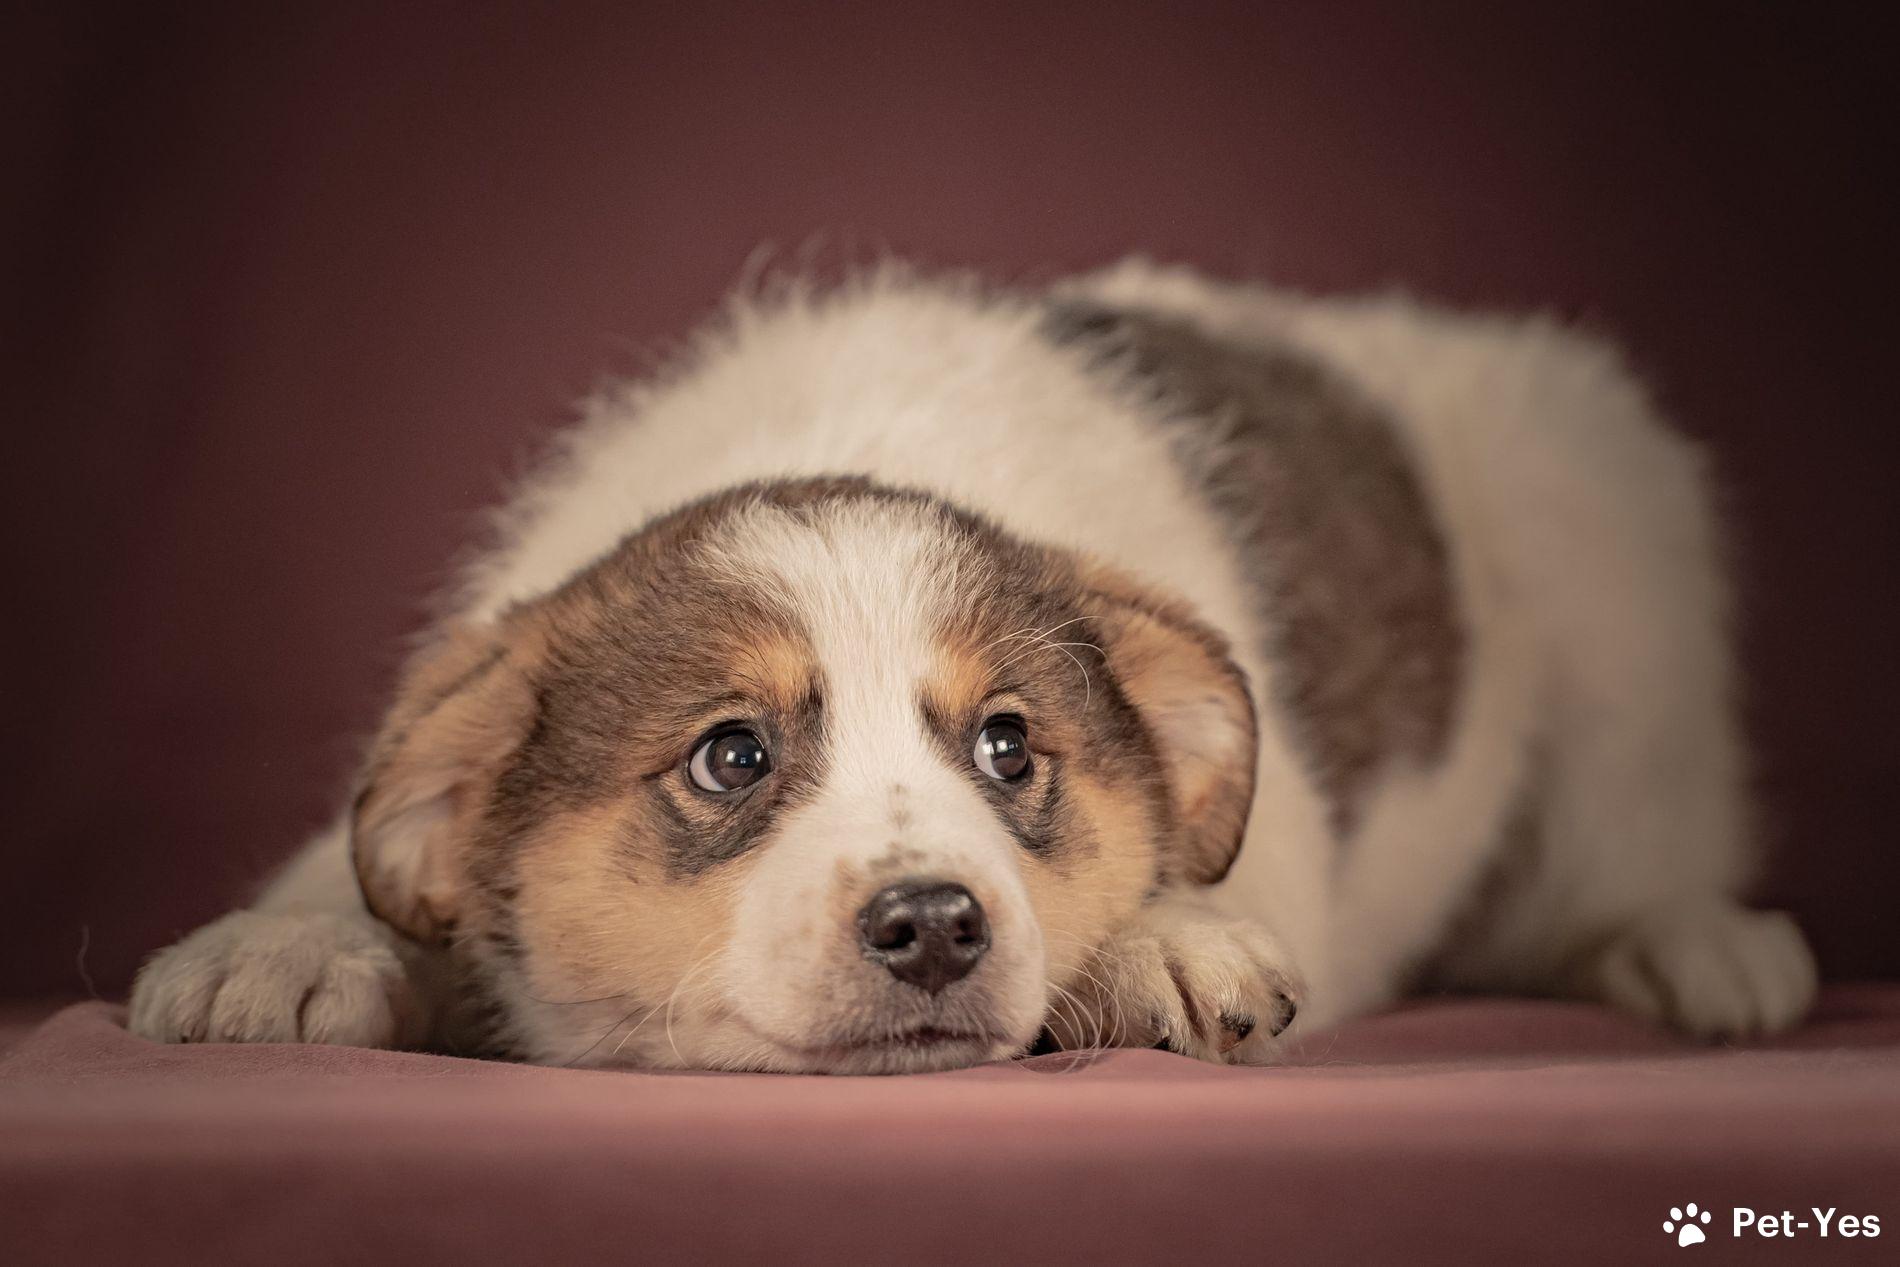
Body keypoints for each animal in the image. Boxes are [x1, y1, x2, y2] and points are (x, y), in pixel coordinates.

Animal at [128, 260, 1818, 1072]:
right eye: (731, 754)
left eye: (1011, 744)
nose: (935, 922)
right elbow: (330, 863)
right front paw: (286, 942)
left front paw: (1159, 938)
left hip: (1621, 573)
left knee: (1637, 836)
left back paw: (1695, 940)